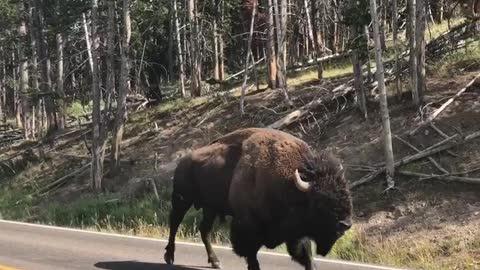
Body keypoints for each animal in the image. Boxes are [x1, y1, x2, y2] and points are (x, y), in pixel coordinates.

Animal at [163, 127, 350, 268]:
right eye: (321, 201)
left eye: (346, 193)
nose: (345, 224)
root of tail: (183, 161)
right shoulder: (247, 226)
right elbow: (251, 256)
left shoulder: (296, 234)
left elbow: (307, 257)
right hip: (182, 199)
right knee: (174, 223)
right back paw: (169, 257)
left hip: (210, 208)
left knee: (204, 230)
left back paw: (215, 262)